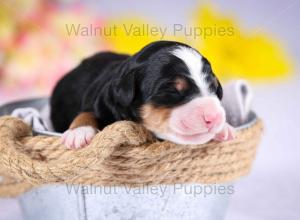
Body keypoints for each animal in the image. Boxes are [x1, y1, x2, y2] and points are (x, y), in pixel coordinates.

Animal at [51, 40, 234, 149]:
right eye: (171, 90)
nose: (214, 117)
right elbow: (86, 113)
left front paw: (224, 128)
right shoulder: (99, 100)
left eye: (214, 87)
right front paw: (79, 132)